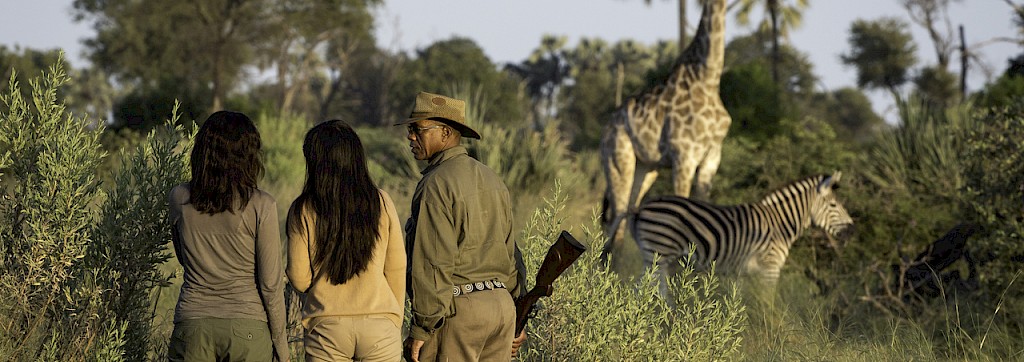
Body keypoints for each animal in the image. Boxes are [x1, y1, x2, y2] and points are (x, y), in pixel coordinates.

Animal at [598, 0, 733, 265]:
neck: (709, 79)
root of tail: (606, 129)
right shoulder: (684, 156)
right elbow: (685, 209)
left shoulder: (713, 157)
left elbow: (705, 210)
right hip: (618, 161)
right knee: (617, 217)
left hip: (646, 168)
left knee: (627, 213)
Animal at [630, 170, 856, 290]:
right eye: (834, 205)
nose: (851, 232)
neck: (780, 225)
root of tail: (643, 206)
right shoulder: (770, 268)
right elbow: (769, 306)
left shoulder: (746, 273)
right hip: (658, 253)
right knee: (645, 289)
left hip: (657, 257)